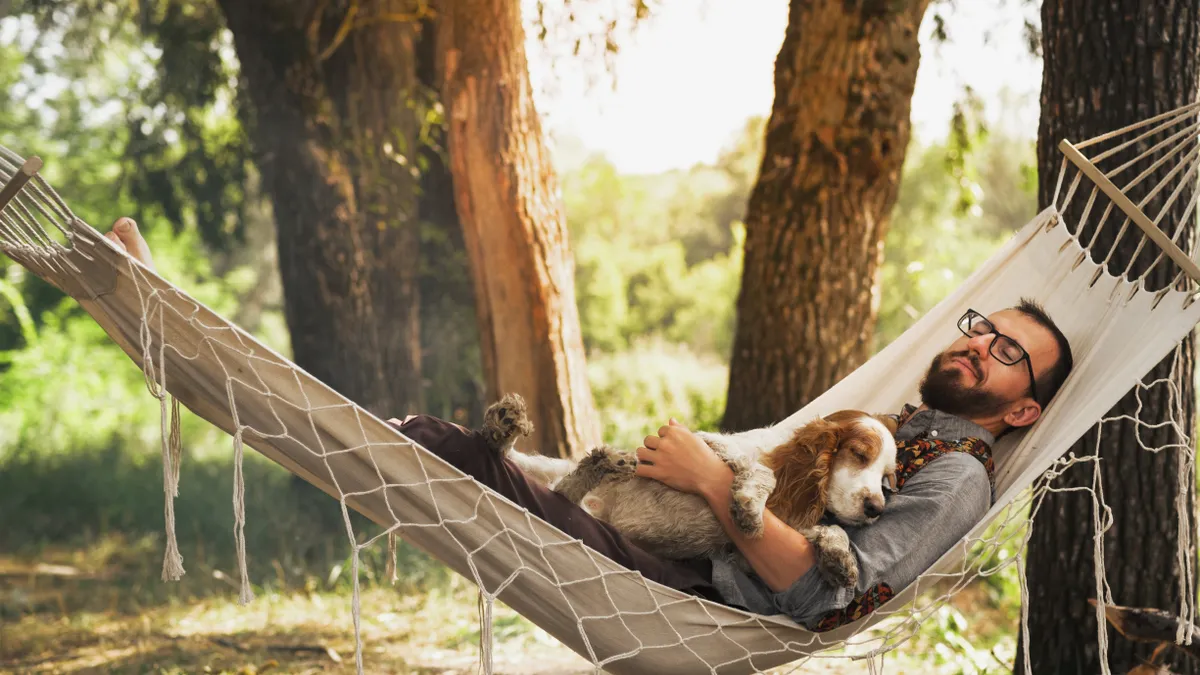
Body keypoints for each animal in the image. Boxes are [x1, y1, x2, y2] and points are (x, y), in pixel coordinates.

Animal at [477, 391, 902, 586]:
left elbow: (828, 530)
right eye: (859, 455)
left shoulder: (744, 556)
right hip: (544, 470)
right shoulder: (708, 443)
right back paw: (506, 423)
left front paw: (840, 560)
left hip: (563, 491)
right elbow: (757, 473)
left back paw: (602, 463)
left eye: (887, 478)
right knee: (510, 456)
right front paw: (749, 507)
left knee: (564, 490)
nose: (876, 509)